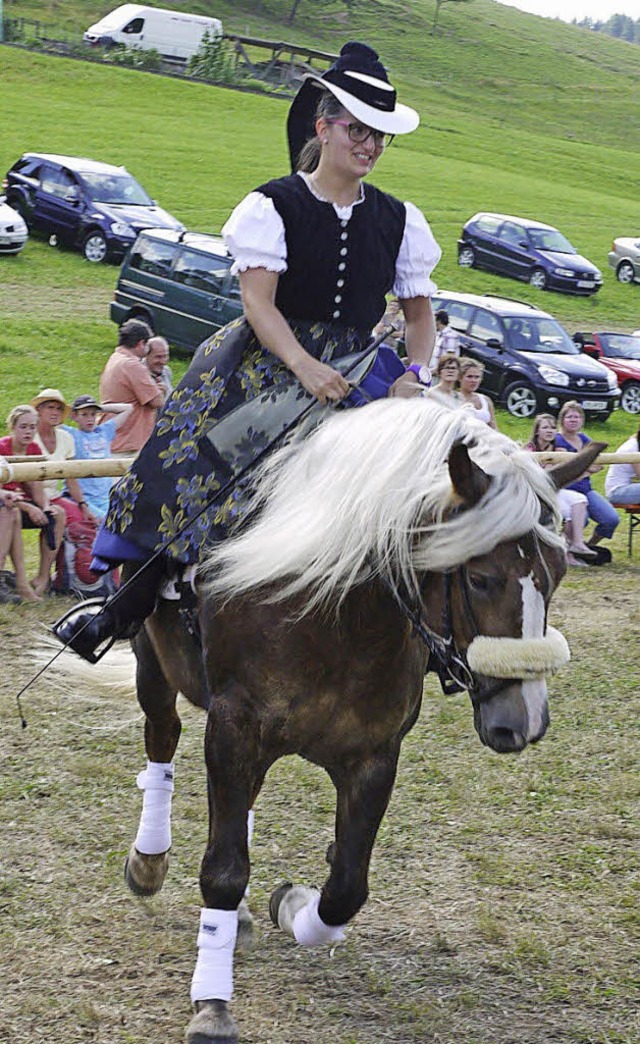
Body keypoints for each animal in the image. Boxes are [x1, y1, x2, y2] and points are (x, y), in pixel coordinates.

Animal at [87, 400, 601, 1044]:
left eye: (558, 572)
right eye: (481, 577)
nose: (523, 721)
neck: (338, 611)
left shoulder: (373, 755)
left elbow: (346, 888)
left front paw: (290, 904)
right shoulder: (233, 727)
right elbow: (224, 870)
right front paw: (211, 1004)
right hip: (154, 667)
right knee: (162, 739)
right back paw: (148, 861)